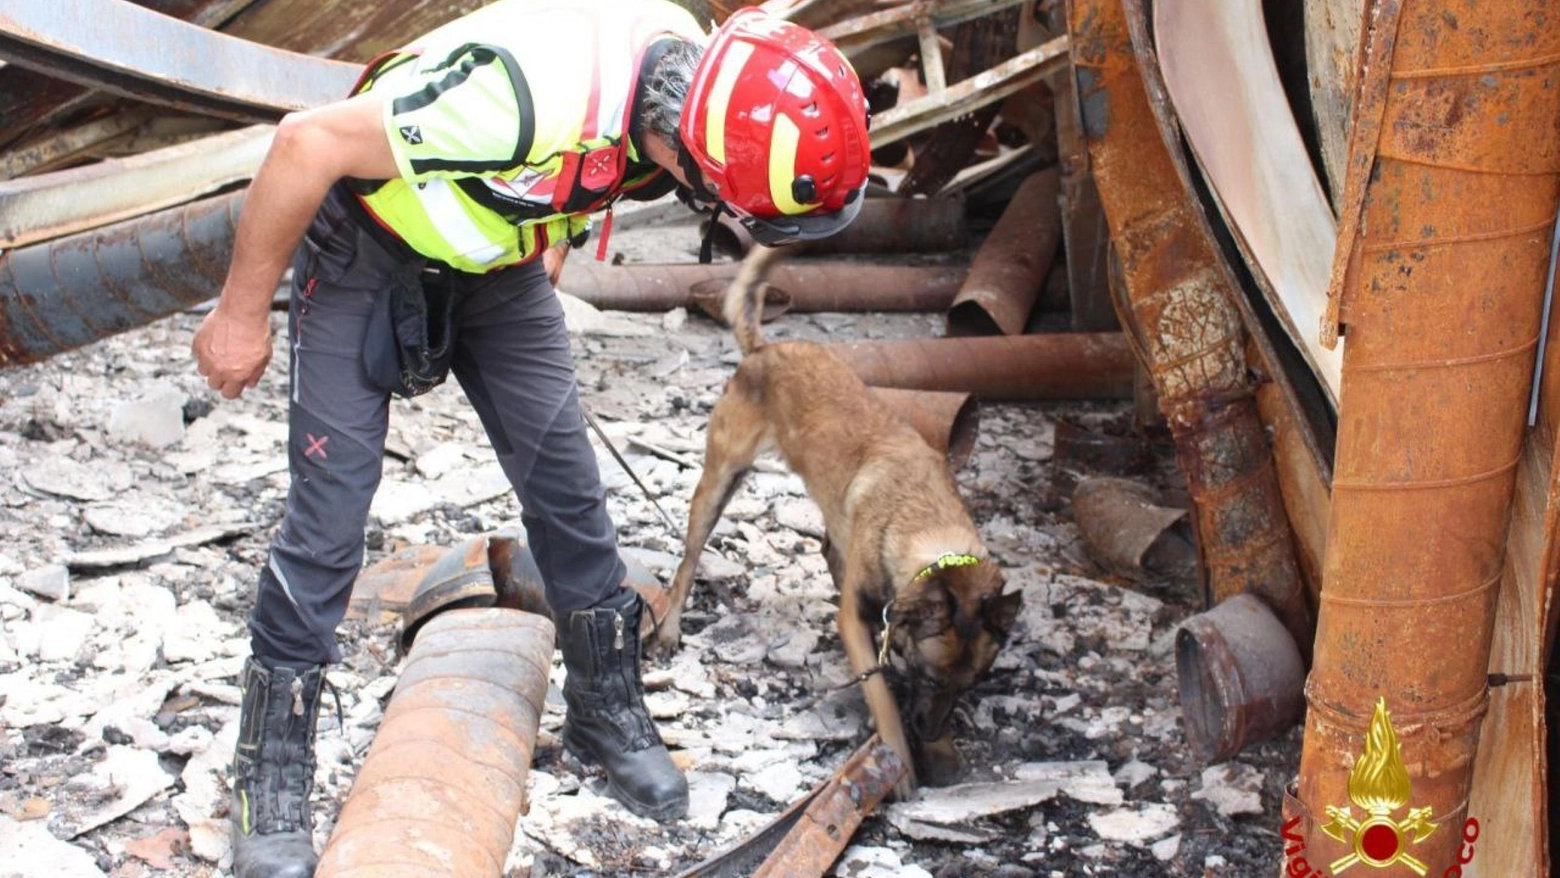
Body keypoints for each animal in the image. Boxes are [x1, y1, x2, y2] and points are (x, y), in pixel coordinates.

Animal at [655, 243, 1023, 792]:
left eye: (970, 685)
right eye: (929, 678)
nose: (929, 729)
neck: (925, 525)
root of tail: (766, 349)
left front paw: (942, 753)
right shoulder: (856, 622)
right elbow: (882, 697)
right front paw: (900, 761)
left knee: (829, 547)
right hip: (718, 483)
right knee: (687, 563)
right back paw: (669, 628)